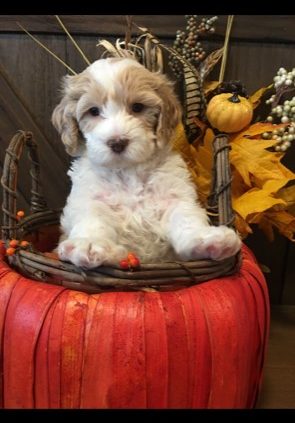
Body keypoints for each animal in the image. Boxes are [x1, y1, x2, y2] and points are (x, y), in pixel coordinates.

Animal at [52, 57, 242, 268]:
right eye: (93, 111)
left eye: (137, 107)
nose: (117, 142)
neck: (128, 170)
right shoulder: (89, 197)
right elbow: (93, 217)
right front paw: (89, 244)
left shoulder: (174, 196)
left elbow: (185, 216)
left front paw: (206, 239)